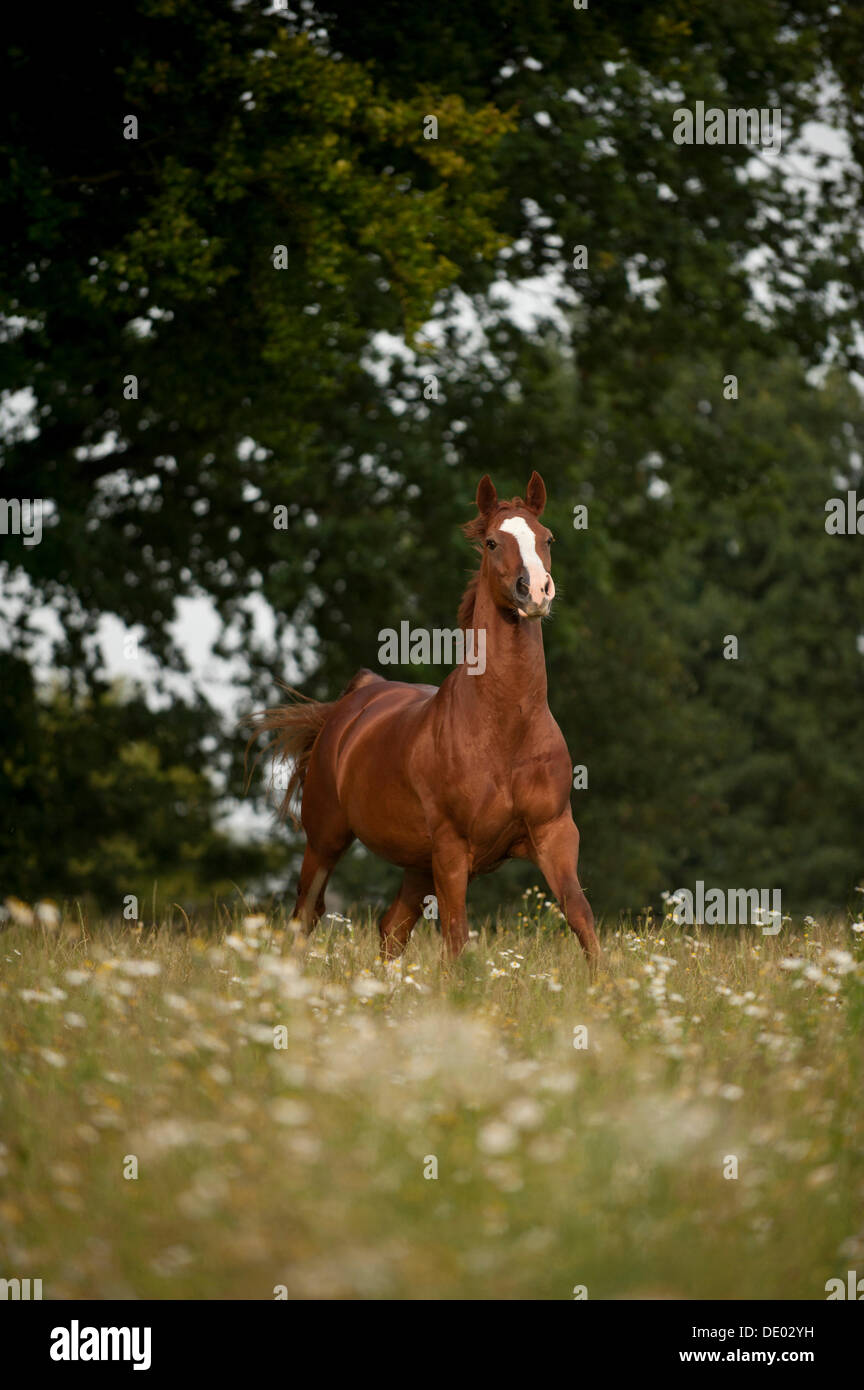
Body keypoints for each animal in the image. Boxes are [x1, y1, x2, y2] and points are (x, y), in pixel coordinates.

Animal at [250, 472, 602, 961]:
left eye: (547, 538)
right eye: (492, 542)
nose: (534, 592)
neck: (506, 729)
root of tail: (356, 699)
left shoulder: (556, 835)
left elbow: (582, 919)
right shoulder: (452, 849)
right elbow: (456, 936)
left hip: (416, 864)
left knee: (392, 929)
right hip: (325, 839)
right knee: (308, 914)